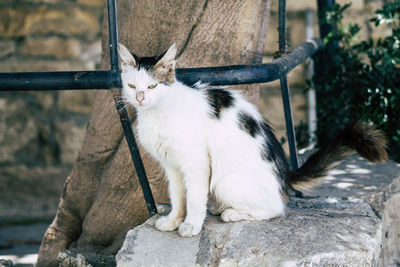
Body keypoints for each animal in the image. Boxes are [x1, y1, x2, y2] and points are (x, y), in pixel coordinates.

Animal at [117, 43, 386, 238]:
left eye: (153, 86)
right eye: (132, 86)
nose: (140, 98)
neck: (159, 112)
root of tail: (284, 174)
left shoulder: (196, 163)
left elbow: (193, 198)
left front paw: (191, 225)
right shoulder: (172, 166)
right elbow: (177, 197)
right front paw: (173, 221)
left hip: (224, 182)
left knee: (276, 209)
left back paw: (232, 214)